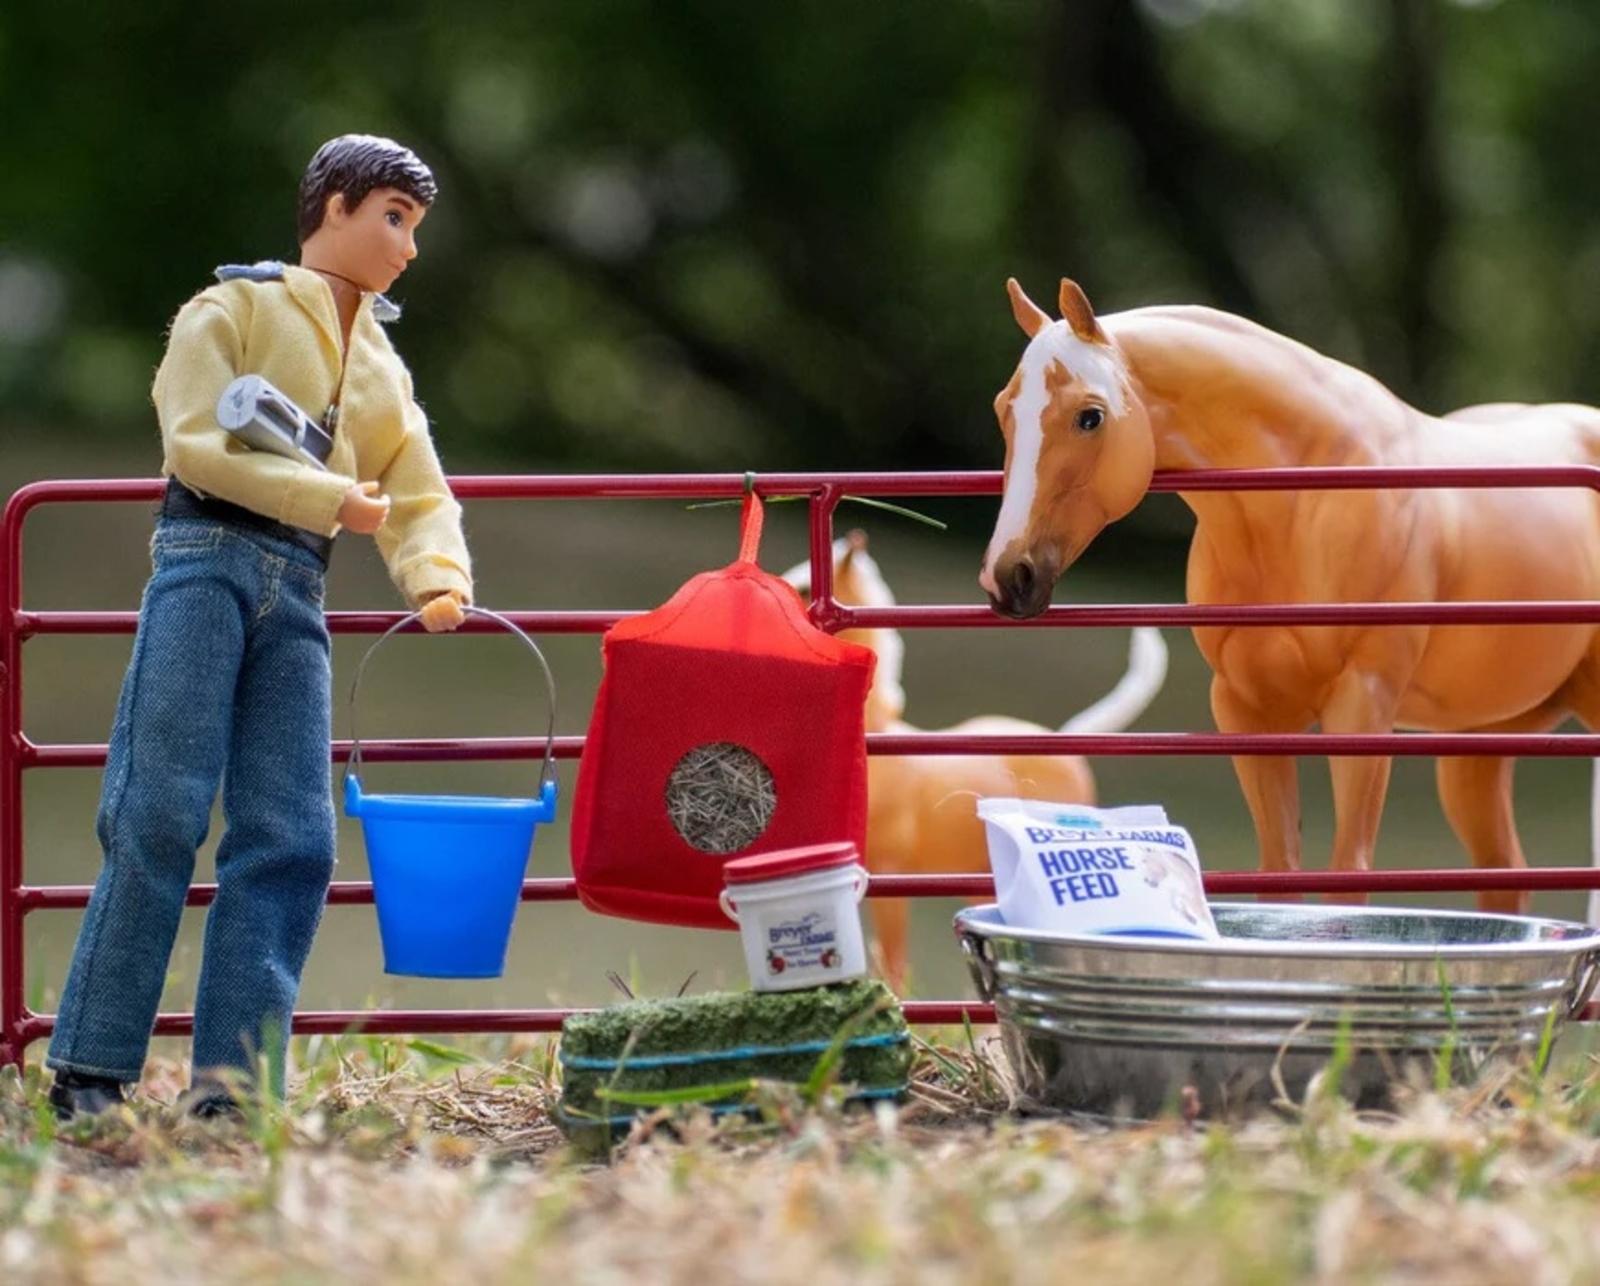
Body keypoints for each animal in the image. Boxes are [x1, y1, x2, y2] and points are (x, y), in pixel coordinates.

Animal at [972, 276, 1600, 914]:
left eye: (1090, 416)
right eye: (1004, 410)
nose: (1009, 576)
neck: (1302, 500)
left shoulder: (1362, 707)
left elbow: (1348, 875)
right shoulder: (1249, 709)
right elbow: (1279, 873)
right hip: (1483, 742)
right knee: (1504, 873)